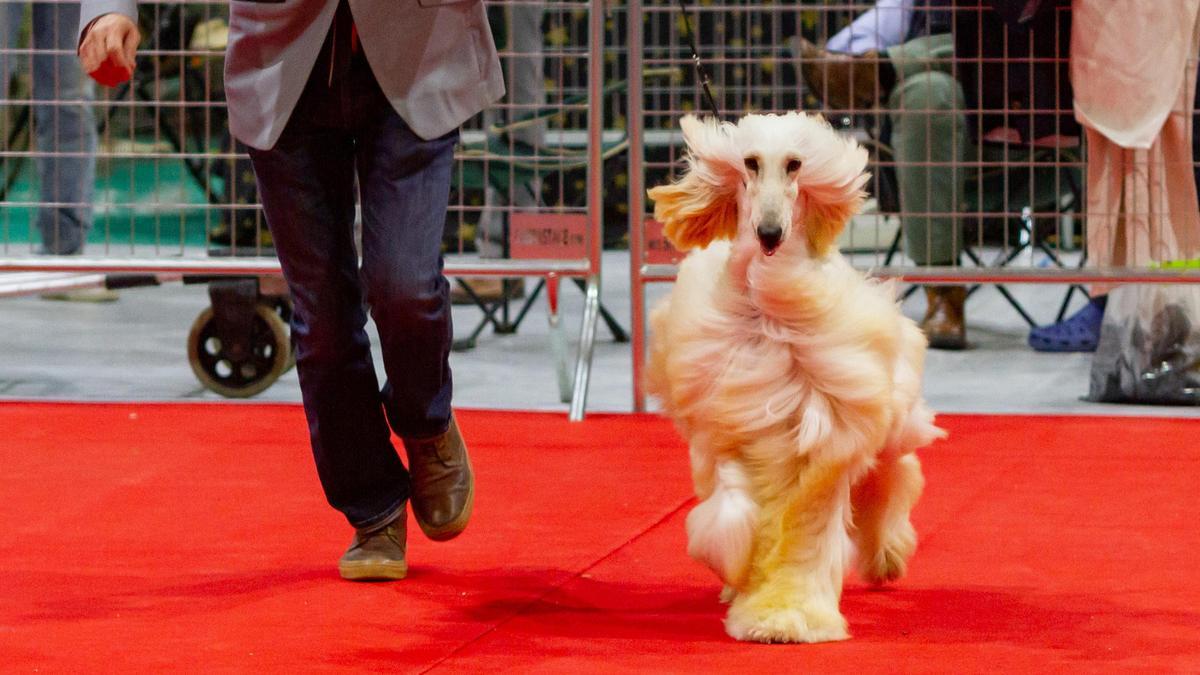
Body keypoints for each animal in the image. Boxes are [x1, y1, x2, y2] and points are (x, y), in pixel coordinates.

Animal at [648, 112, 945, 643]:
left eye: (794, 164)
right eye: (750, 163)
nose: (769, 233)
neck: (771, 309)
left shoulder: (827, 431)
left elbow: (806, 527)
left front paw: (787, 617)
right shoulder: (733, 427)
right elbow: (733, 512)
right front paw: (739, 573)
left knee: (893, 472)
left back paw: (886, 553)